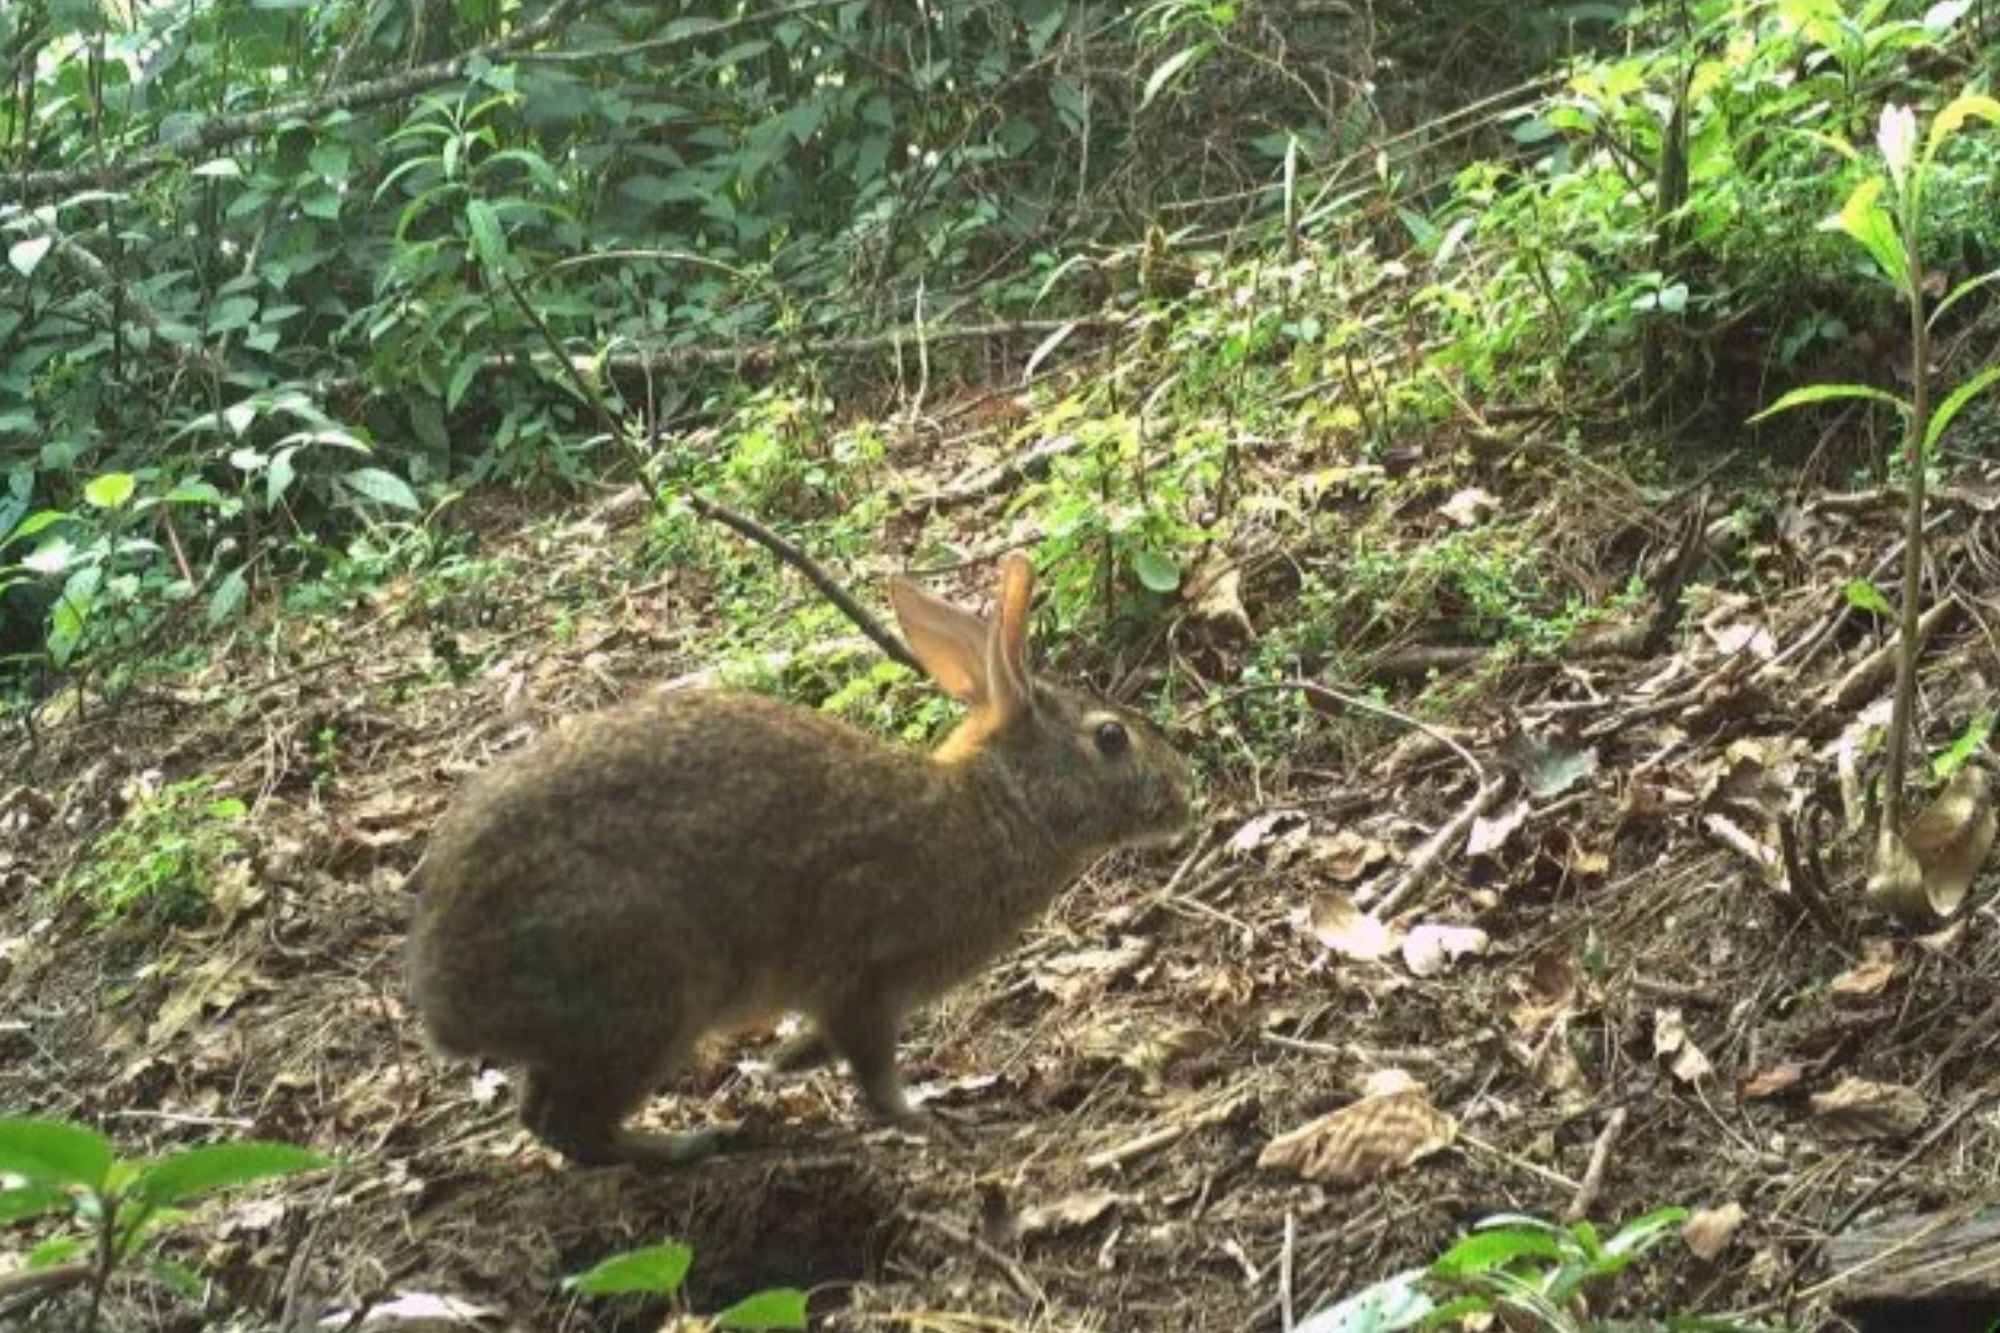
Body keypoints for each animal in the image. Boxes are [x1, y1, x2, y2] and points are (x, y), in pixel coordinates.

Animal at [406, 548, 1184, 1160]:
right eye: (1111, 738)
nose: (1183, 794)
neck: (996, 806)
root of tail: (446, 999)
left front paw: (784, 1062)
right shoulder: (869, 980)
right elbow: (873, 1071)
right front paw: (923, 1117)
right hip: (647, 995)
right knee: (565, 1123)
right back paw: (688, 1144)